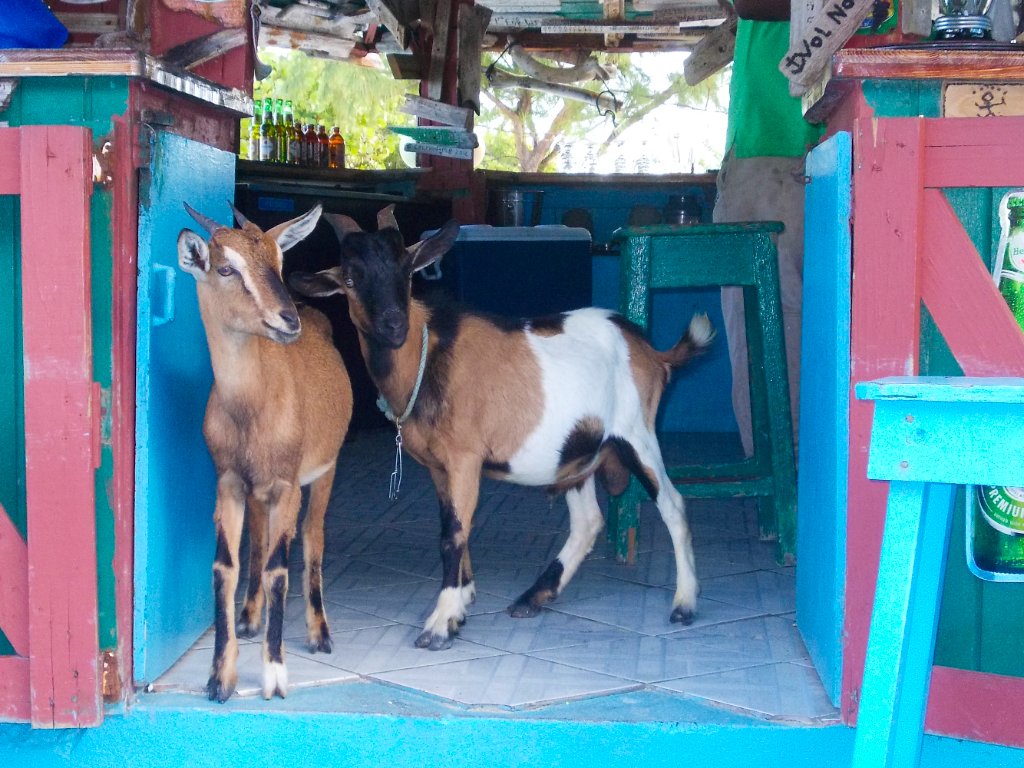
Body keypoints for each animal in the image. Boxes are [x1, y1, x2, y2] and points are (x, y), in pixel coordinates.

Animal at [177, 202, 352, 700]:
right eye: (225, 268)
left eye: (278, 261)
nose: (287, 320)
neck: (251, 409)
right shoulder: (230, 482)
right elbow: (225, 567)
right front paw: (220, 677)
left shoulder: (286, 484)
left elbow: (279, 569)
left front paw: (274, 673)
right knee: (258, 541)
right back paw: (251, 616)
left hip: (325, 470)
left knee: (312, 538)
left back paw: (319, 632)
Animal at [289, 206, 713, 651]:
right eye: (351, 279)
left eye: (407, 271)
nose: (394, 325)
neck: (429, 353)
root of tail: (651, 351)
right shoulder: (439, 468)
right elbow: (453, 527)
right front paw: (460, 607)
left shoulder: (464, 457)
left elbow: (454, 534)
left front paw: (439, 623)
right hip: (578, 450)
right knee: (588, 521)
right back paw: (533, 597)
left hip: (637, 433)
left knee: (672, 504)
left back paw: (684, 604)